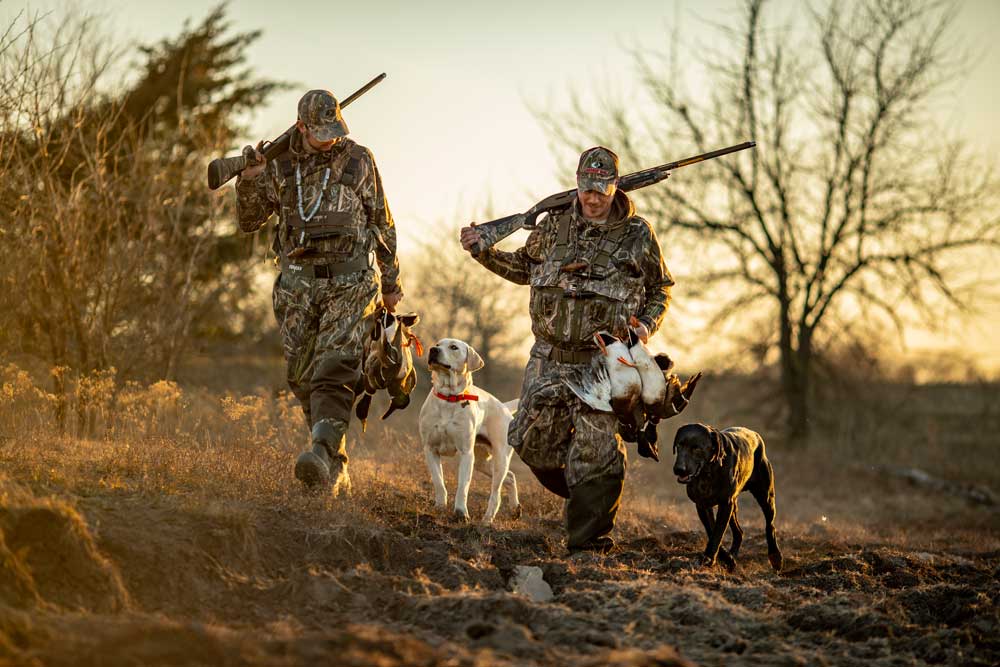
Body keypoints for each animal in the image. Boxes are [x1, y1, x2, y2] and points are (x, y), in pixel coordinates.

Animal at [418, 342, 520, 524]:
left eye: (453, 347)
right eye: (437, 344)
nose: (433, 350)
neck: (449, 397)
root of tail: (504, 407)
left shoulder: (466, 453)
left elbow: (463, 486)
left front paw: (461, 512)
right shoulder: (430, 449)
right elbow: (438, 481)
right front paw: (440, 507)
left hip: (500, 458)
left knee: (496, 493)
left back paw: (487, 520)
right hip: (482, 462)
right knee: (510, 477)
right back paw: (515, 509)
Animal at [672, 426, 780, 572]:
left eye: (697, 448)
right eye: (679, 445)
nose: (679, 469)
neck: (708, 473)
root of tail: (755, 434)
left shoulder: (725, 504)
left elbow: (718, 532)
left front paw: (709, 558)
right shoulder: (702, 505)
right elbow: (712, 530)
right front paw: (726, 558)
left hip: (765, 496)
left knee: (770, 525)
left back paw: (775, 556)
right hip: (733, 506)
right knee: (739, 532)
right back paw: (732, 555)